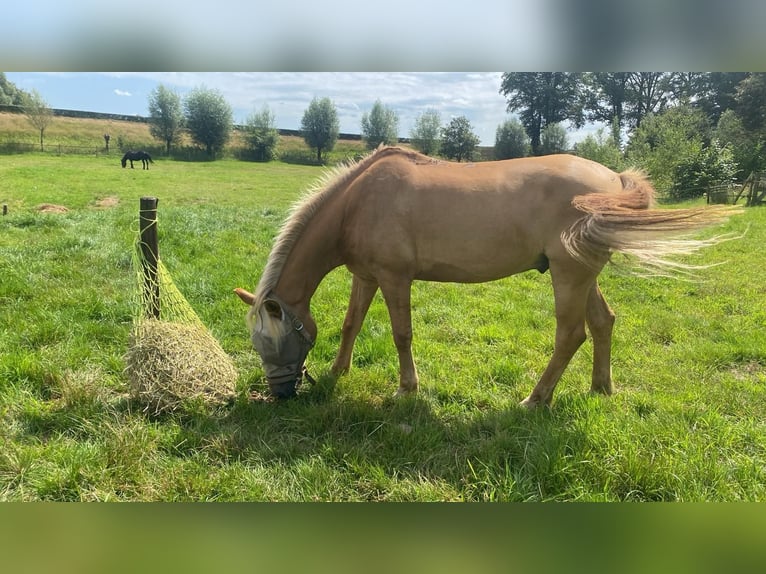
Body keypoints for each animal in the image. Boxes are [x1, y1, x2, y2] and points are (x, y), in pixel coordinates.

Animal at [234, 145, 736, 404]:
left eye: (273, 341)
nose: (280, 394)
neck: (358, 202)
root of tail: (613, 180)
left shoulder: (395, 278)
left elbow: (401, 334)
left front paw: (407, 389)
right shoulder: (367, 276)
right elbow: (350, 323)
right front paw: (339, 371)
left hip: (569, 275)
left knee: (571, 334)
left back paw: (536, 399)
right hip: (585, 275)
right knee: (602, 323)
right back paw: (601, 388)